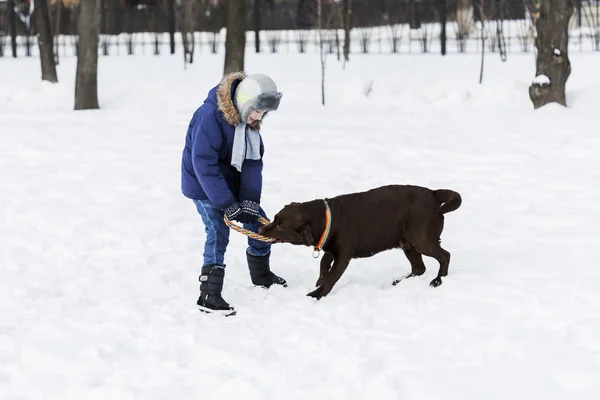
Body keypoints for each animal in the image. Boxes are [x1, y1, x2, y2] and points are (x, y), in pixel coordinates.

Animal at [258, 184, 464, 296]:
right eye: (275, 218)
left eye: (280, 225)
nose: (260, 229)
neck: (326, 218)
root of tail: (434, 194)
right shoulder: (331, 249)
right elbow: (324, 263)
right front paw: (319, 281)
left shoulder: (344, 255)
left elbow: (332, 277)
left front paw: (316, 295)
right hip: (407, 243)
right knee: (419, 268)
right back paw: (399, 281)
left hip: (420, 239)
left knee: (444, 256)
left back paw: (438, 280)